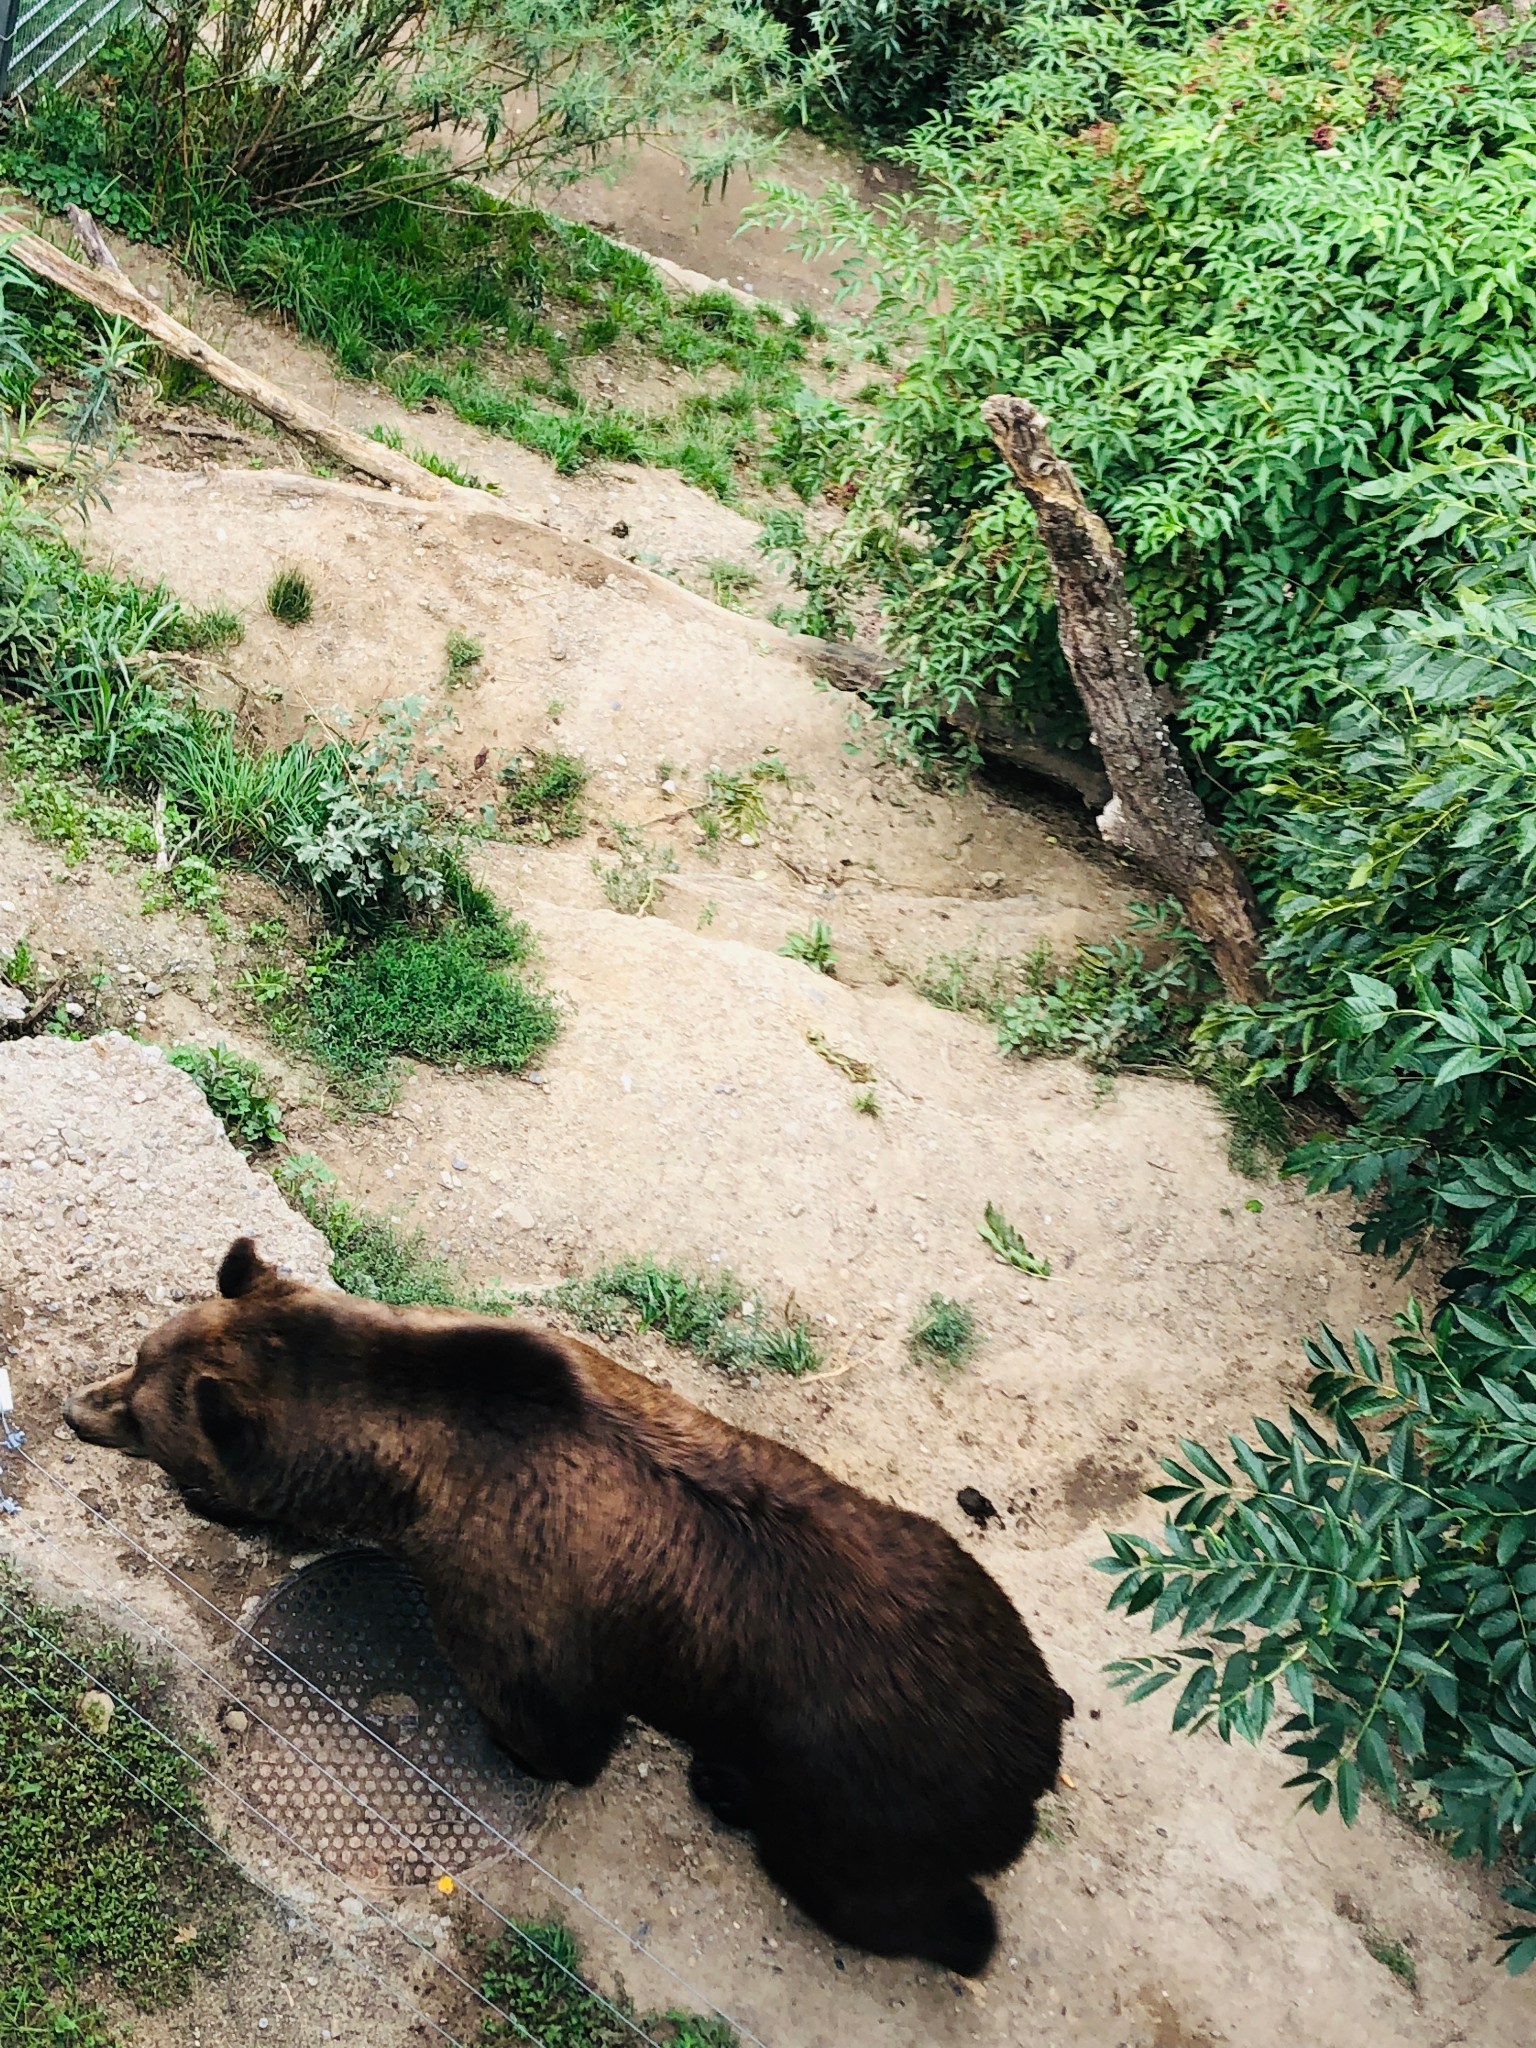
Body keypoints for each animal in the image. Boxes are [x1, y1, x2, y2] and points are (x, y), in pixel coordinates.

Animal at [69, 1228, 1073, 1966]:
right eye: (138, 1355)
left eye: (143, 1406)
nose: (78, 1409)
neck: (419, 1461)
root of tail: (1037, 1744)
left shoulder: (514, 1592)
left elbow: (555, 1726)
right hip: (945, 1568)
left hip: (862, 1795)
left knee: (867, 1892)